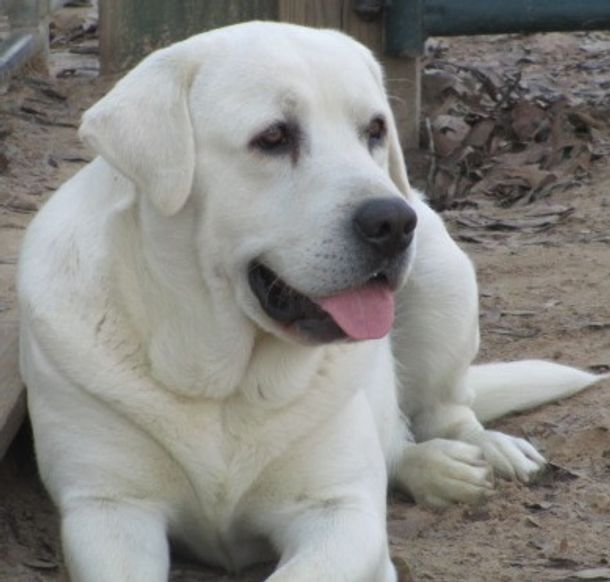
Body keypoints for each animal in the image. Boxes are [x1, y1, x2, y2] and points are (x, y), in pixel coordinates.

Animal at [17, 22, 604, 582]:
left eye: (375, 130)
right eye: (274, 136)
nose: (393, 221)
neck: (221, 382)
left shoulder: (340, 513)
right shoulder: (108, 510)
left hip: (444, 277)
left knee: (444, 411)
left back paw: (482, 451)